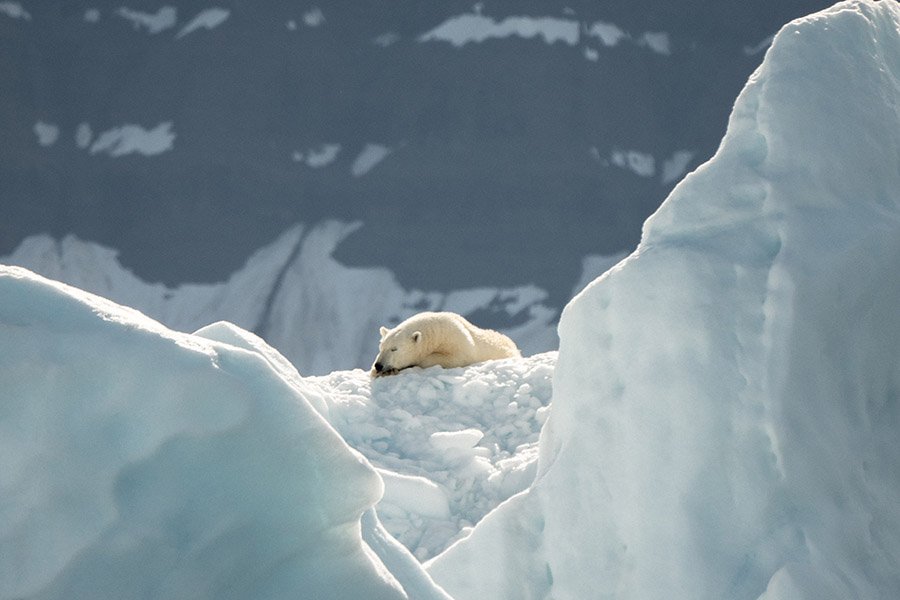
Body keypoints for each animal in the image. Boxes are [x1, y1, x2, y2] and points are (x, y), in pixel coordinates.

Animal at [368, 312, 520, 378]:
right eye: (381, 348)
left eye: (394, 349)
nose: (379, 365)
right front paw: (381, 371)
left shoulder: (457, 341)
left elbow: (454, 358)